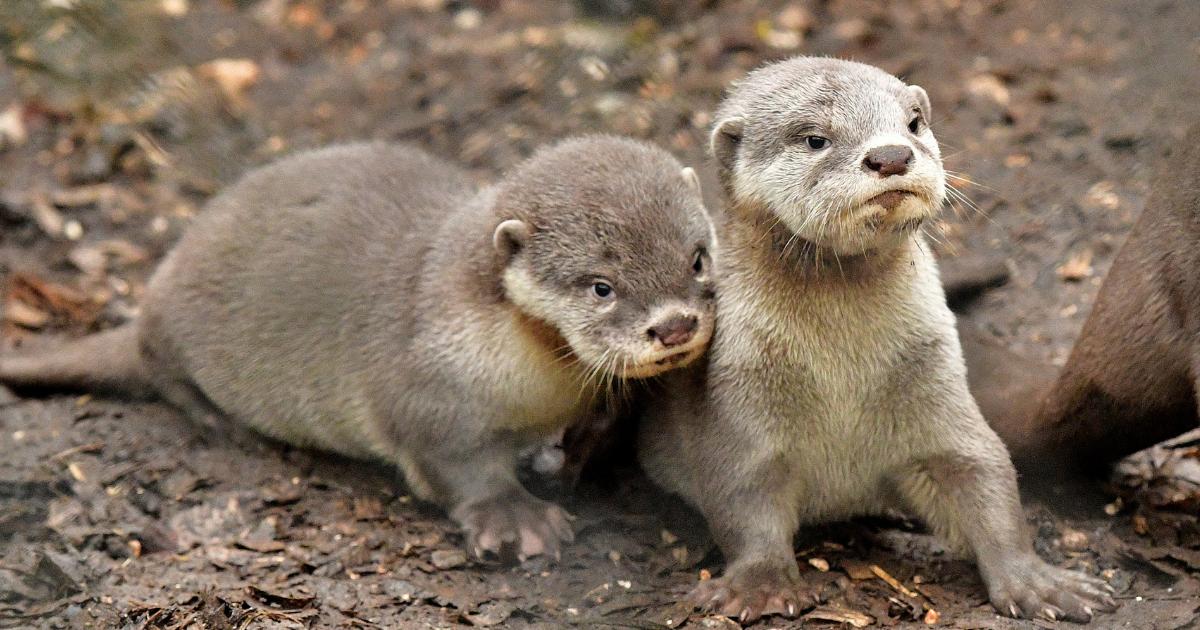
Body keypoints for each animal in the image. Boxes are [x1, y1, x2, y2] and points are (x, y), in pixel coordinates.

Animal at [0, 137, 718, 561]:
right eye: (601, 286)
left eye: (697, 258)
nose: (675, 326)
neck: (534, 387)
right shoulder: (423, 389)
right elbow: (457, 464)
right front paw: (515, 518)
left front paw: (573, 455)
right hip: (172, 330)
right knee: (162, 366)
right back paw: (221, 423)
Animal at [637, 58, 1116, 623]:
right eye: (815, 138)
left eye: (912, 122)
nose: (891, 155)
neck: (841, 375)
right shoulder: (738, 397)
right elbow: (742, 498)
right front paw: (760, 585)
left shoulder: (937, 387)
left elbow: (986, 474)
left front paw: (1036, 581)